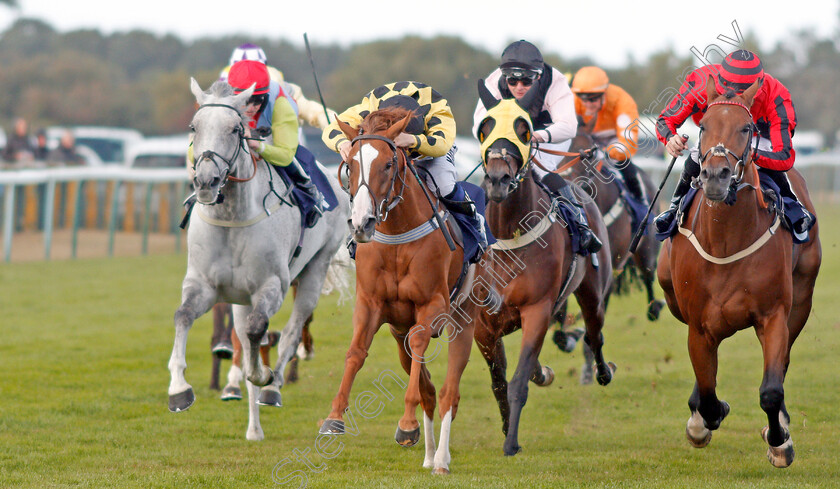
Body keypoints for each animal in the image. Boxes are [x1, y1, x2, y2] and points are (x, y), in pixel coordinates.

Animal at [167, 79, 352, 438]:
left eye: (235, 129)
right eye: (194, 127)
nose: (206, 181)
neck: (232, 218)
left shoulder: (271, 286)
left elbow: (259, 331)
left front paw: (263, 374)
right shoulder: (204, 285)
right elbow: (183, 316)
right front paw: (179, 389)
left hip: (314, 270)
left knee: (292, 330)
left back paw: (273, 385)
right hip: (239, 297)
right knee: (243, 337)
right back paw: (253, 428)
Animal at [320, 106, 480, 472]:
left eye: (388, 164)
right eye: (350, 165)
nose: (362, 223)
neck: (396, 235)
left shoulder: (433, 305)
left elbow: (422, 347)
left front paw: (407, 424)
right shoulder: (370, 304)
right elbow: (355, 352)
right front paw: (334, 416)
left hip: (463, 322)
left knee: (449, 392)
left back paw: (441, 459)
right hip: (397, 333)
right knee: (431, 391)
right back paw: (429, 455)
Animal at [476, 83, 612, 454]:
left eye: (524, 130)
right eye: (485, 128)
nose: (498, 178)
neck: (509, 234)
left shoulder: (537, 308)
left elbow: (518, 381)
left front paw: (511, 443)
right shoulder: (482, 322)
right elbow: (498, 380)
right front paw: (506, 427)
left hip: (592, 293)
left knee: (594, 333)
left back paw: (603, 371)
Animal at [656, 77, 820, 468]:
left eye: (746, 128)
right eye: (702, 126)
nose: (715, 176)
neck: (725, 242)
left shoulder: (774, 315)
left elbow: (771, 390)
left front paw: (779, 441)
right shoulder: (699, 325)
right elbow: (708, 394)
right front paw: (701, 421)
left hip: (801, 301)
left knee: (783, 361)